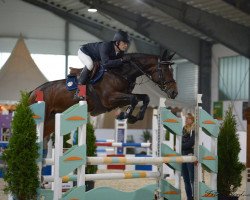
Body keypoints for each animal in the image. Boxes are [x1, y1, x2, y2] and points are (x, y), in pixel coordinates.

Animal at [28, 50, 178, 140]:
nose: (175, 92)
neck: (120, 73)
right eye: (165, 70)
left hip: (50, 121)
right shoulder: (109, 99)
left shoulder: (121, 97)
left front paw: (134, 117)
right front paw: (124, 115)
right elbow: (134, 99)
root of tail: (33, 92)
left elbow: (143, 97)